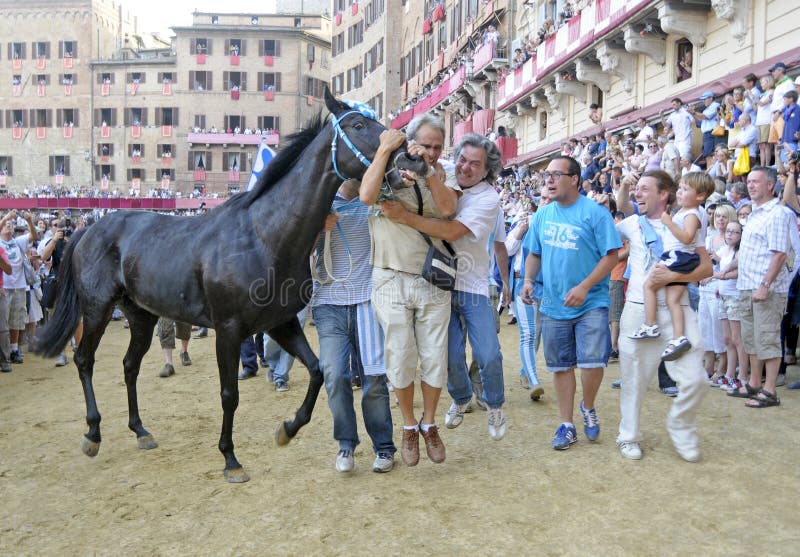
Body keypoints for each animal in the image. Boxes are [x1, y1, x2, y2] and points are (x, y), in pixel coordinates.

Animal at [36, 89, 422, 480]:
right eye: (358, 125)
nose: (411, 156)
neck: (263, 236)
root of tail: (87, 230)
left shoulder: (279, 322)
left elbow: (316, 371)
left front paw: (288, 428)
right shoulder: (228, 328)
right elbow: (229, 394)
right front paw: (230, 458)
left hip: (141, 314)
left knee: (130, 365)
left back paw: (141, 430)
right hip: (96, 308)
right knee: (84, 360)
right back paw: (93, 433)